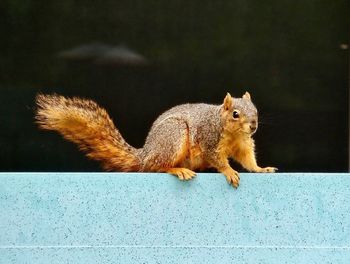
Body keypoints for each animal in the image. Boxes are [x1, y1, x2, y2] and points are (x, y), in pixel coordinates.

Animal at [34, 92, 276, 187]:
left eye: (255, 110)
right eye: (235, 114)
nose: (253, 125)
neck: (233, 133)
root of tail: (146, 153)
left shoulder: (244, 144)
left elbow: (248, 160)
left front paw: (261, 169)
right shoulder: (209, 138)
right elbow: (217, 158)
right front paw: (229, 171)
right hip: (173, 135)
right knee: (155, 166)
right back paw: (178, 169)